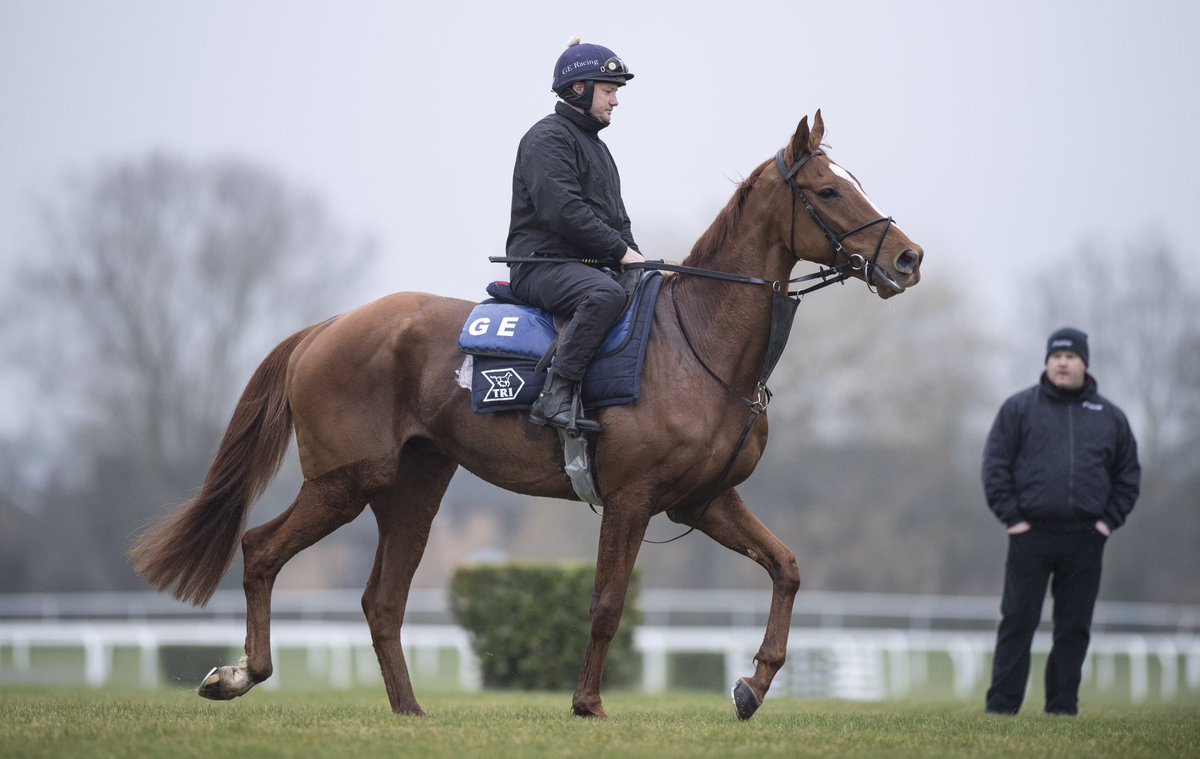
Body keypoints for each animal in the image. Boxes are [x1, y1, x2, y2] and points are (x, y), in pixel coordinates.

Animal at [129, 110, 923, 720]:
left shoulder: (703, 500)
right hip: (346, 481)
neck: (695, 340)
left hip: (413, 488)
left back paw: (409, 710)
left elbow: (786, 568)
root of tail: (328, 326)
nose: (909, 258)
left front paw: (753, 684)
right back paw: (239, 674)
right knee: (262, 548)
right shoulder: (631, 499)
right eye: (828, 189)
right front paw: (588, 704)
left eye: (854, 181)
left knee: (382, 599)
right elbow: (606, 603)